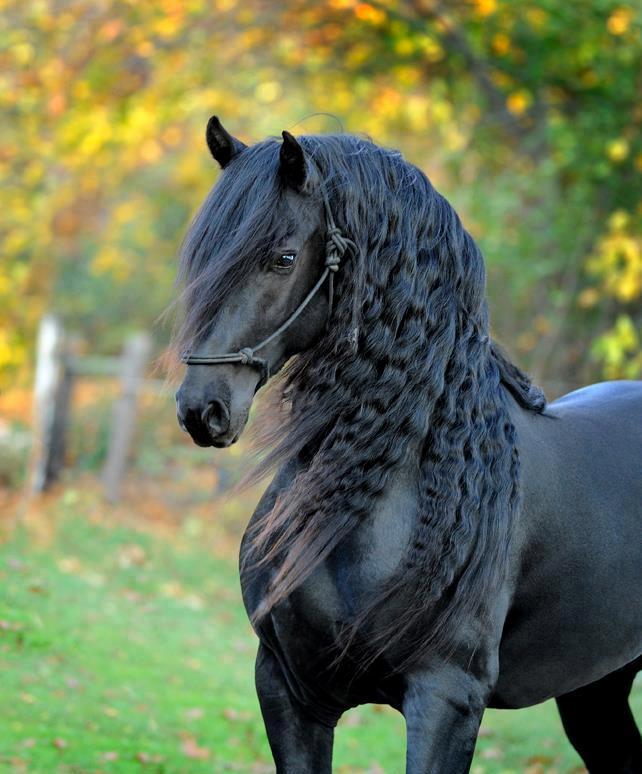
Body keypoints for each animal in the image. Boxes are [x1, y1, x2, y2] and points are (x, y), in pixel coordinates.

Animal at [173, 117, 642, 773]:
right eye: (203, 256)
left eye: (283, 258)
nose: (202, 409)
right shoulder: (288, 688)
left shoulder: (445, 700)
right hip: (595, 690)